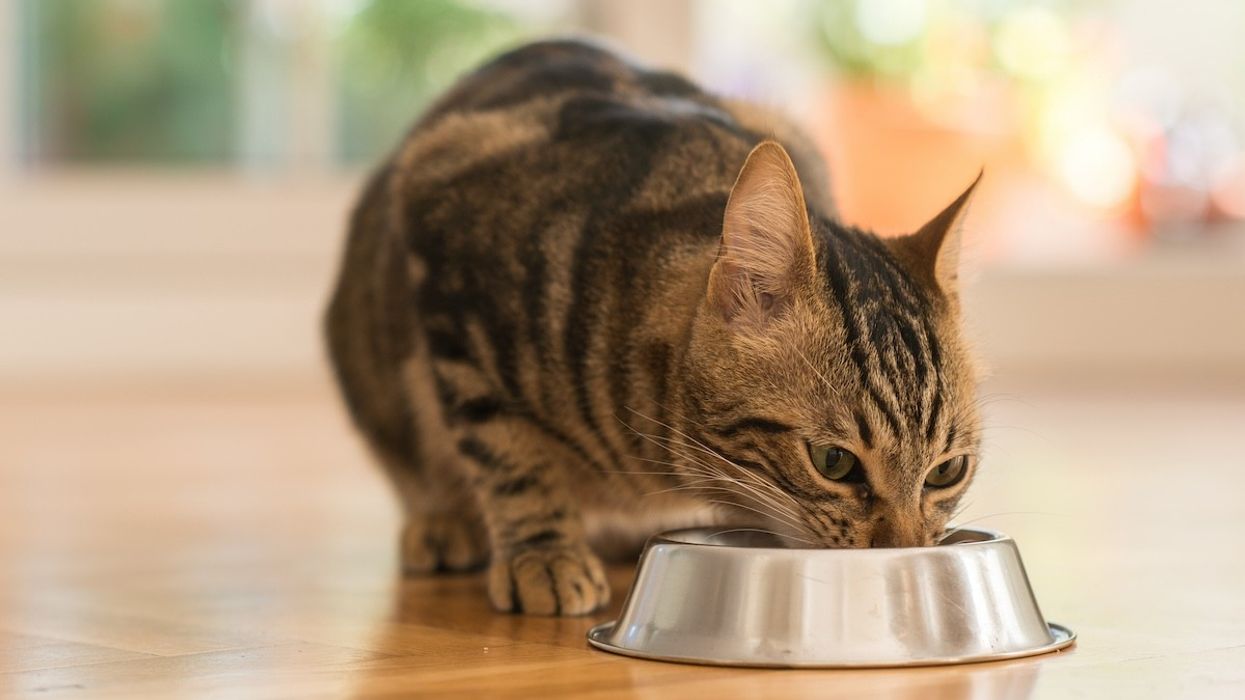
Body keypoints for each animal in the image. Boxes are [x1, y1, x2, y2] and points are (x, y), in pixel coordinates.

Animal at [328, 38, 981, 612]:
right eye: (833, 462)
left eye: (947, 471)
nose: (904, 552)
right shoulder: (449, 260)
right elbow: (506, 454)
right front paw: (543, 554)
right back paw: (445, 522)